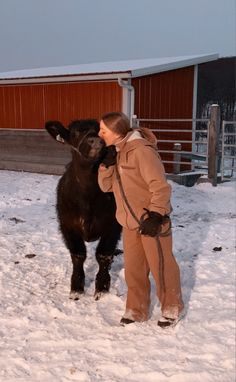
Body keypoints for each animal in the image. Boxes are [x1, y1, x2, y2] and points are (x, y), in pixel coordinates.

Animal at [45, 120, 121, 302]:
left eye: (101, 130)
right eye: (74, 133)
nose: (95, 141)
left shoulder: (113, 227)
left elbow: (103, 255)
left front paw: (102, 289)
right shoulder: (68, 226)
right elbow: (78, 255)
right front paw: (76, 289)